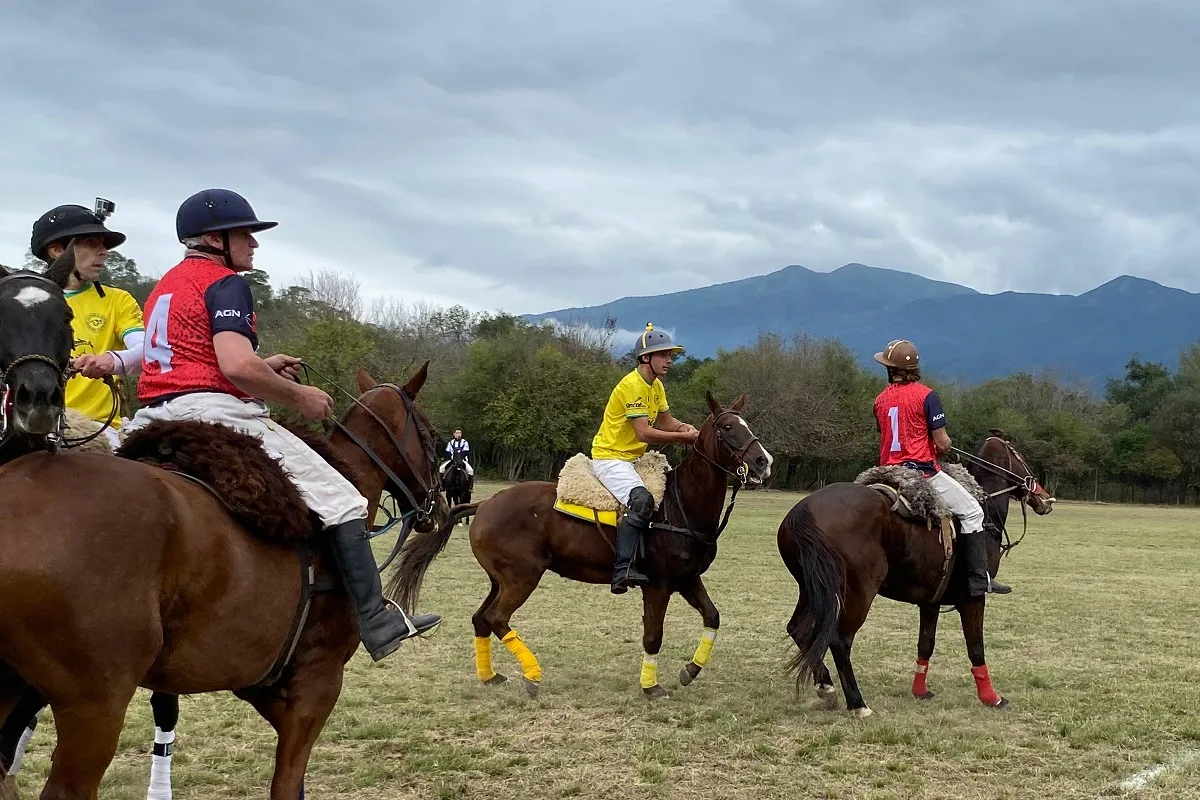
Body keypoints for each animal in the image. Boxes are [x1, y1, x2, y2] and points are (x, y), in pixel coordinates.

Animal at [0, 286, 446, 800]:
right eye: (432, 436)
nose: (439, 503)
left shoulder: (261, 682)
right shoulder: (317, 685)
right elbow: (287, 784)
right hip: (95, 701)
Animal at [388, 393, 772, 700]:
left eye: (747, 424)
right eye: (726, 427)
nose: (763, 461)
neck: (681, 505)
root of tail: (483, 504)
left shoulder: (688, 579)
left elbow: (713, 616)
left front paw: (690, 671)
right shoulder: (659, 586)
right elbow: (653, 635)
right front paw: (651, 687)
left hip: (501, 579)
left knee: (481, 618)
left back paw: (491, 676)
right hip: (522, 577)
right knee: (496, 618)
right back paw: (532, 676)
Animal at [777, 434, 1051, 714]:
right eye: (1020, 456)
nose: (1045, 499)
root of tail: (804, 510)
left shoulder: (930, 601)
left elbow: (925, 644)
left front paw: (920, 691)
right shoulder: (973, 598)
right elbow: (976, 648)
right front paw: (991, 698)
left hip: (811, 587)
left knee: (797, 629)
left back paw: (826, 687)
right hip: (858, 591)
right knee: (840, 640)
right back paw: (857, 704)